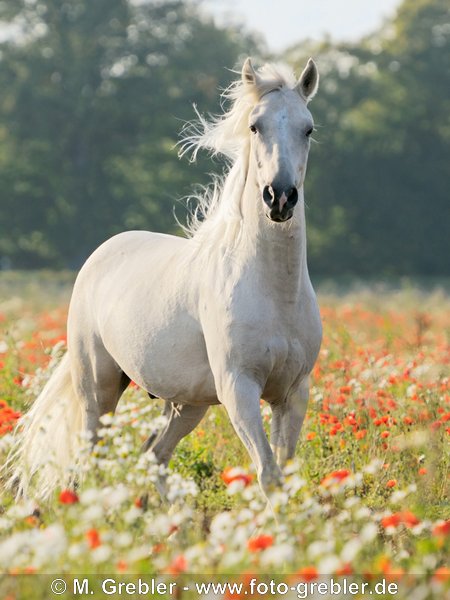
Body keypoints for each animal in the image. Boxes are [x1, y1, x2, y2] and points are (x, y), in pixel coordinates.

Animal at [8, 57, 322, 502]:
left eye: (307, 128)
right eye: (254, 126)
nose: (279, 197)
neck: (275, 292)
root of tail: (101, 254)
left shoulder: (293, 393)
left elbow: (285, 476)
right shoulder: (239, 389)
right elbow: (268, 473)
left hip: (185, 402)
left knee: (153, 456)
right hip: (99, 389)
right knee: (91, 459)